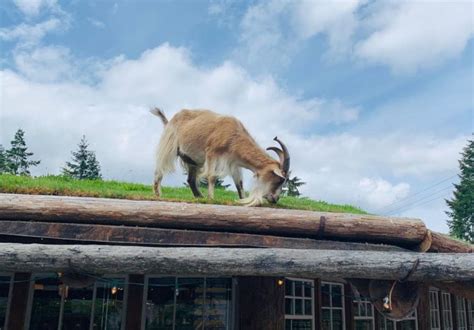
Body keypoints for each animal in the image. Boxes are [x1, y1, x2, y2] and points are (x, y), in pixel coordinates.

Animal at [151, 108, 288, 206]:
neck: (234, 135)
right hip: (169, 146)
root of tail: (169, 121)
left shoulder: (233, 162)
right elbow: (212, 177)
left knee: (190, 180)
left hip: (193, 161)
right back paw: (158, 194)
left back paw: (199, 197)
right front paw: (211, 198)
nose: (275, 199)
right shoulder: (212, 153)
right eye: (279, 180)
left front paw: (242, 198)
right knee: (159, 171)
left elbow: (239, 183)